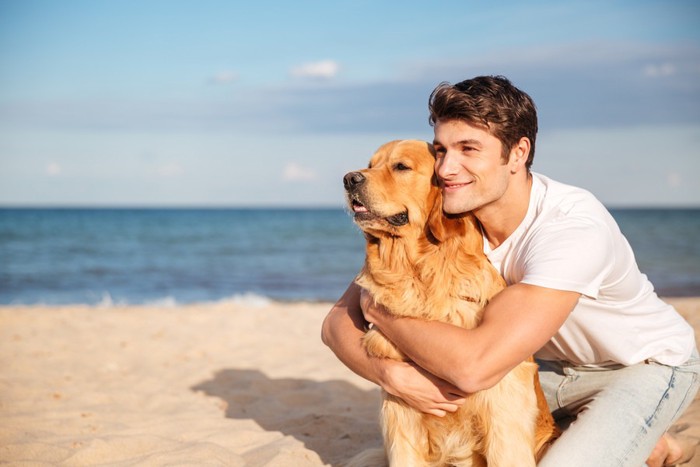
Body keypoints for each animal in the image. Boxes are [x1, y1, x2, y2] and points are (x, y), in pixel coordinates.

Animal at [344, 140, 556, 467]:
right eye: (370, 164)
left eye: (401, 167)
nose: (349, 179)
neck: (420, 273)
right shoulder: (399, 412)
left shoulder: (503, 409)